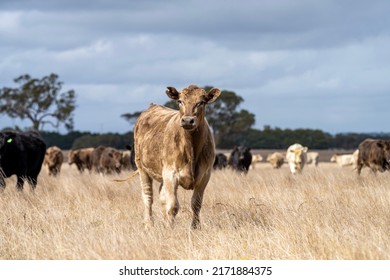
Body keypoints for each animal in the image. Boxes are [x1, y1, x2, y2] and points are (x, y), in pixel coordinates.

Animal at [134, 84, 221, 229]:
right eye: (180, 101)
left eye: (201, 102)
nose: (187, 120)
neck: (191, 148)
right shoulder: (171, 174)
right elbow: (173, 206)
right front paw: (171, 228)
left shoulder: (204, 176)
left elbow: (196, 204)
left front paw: (195, 227)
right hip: (142, 168)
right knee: (148, 197)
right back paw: (149, 224)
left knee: (162, 196)